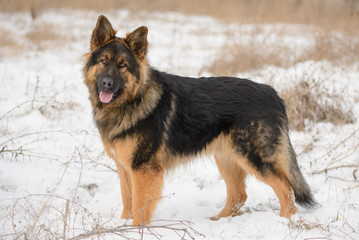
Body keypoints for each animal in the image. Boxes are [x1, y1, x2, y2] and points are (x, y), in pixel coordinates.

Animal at [83, 15, 316, 226]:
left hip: (254, 158)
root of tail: (273, 93)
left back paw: (285, 221)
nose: (106, 84)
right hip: (227, 158)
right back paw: (220, 220)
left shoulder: (143, 169)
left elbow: (139, 205)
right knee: (239, 195)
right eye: (104, 61)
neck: (132, 101)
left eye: (123, 65)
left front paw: (134, 230)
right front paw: (120, 225)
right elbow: (127, 200)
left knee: (286, 190)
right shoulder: (125, 168)